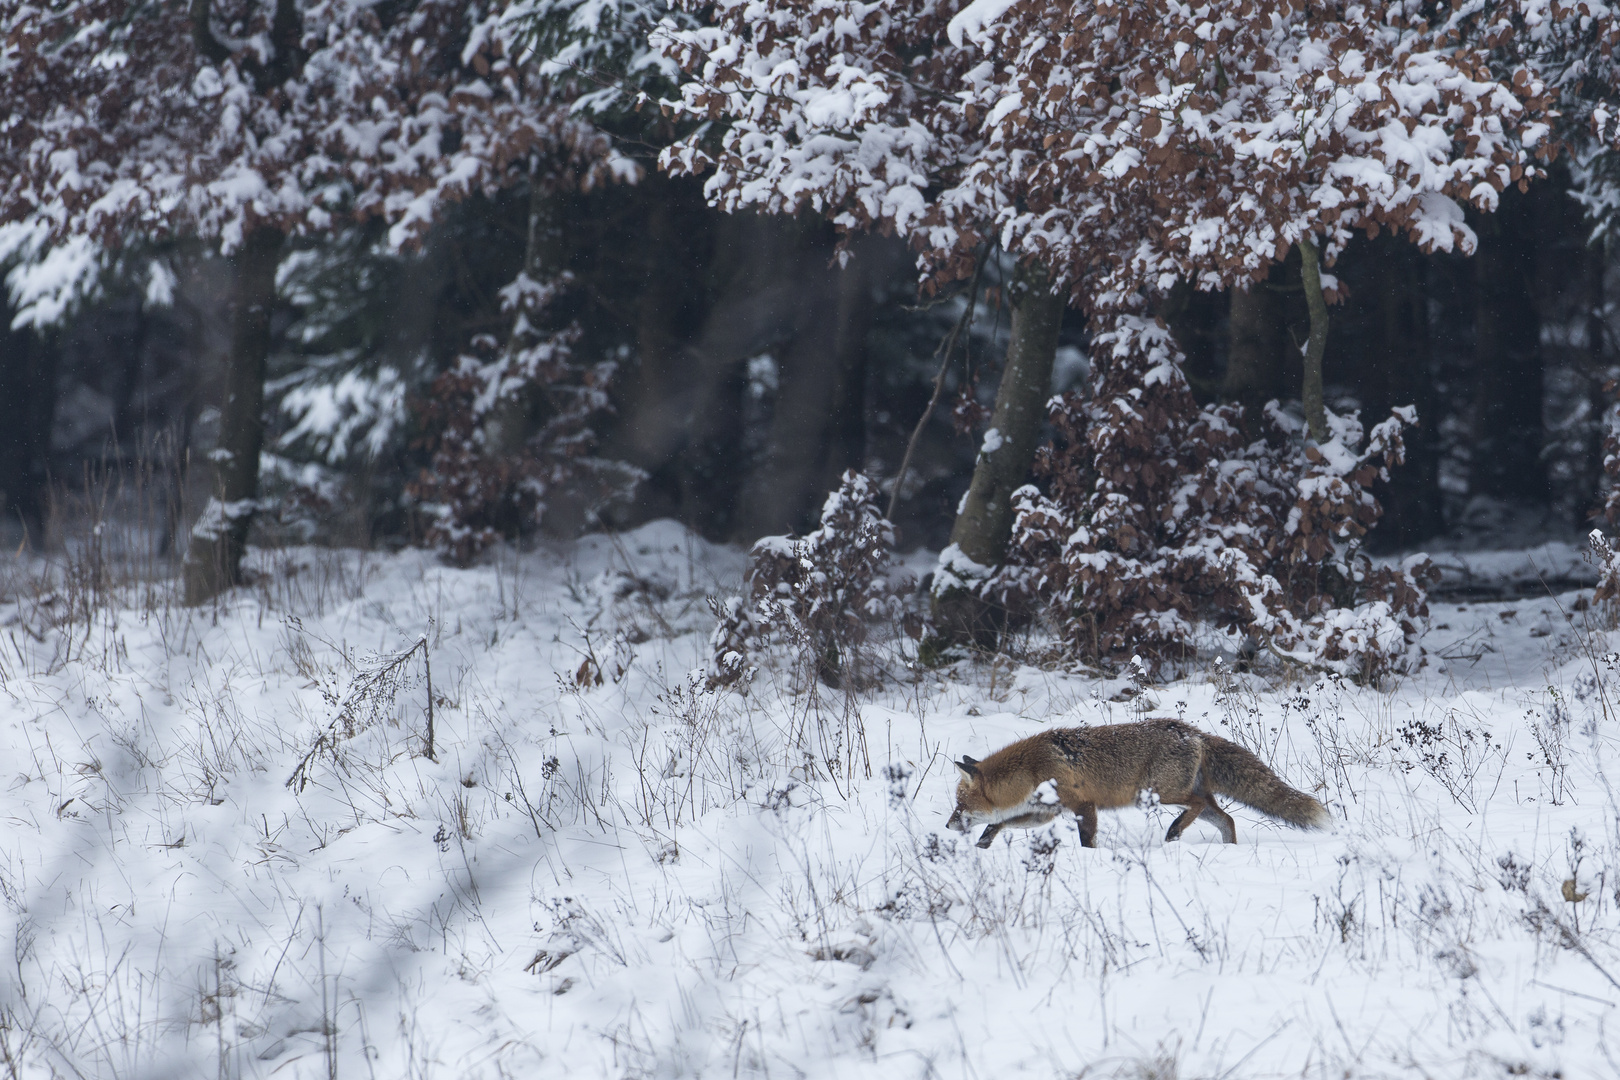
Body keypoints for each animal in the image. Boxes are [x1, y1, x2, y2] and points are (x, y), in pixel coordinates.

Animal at [946, 722, 1328, 848]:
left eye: (960, 805)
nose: (948, 825)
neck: (1031, 768)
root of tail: (1192, 732)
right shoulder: (1045, 813)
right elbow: (1001, 823)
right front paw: (982, 845)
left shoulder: (1084, 806)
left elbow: (1087, 842)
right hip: (1178, 797)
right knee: (1226, 818)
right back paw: (1229, 851)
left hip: (1158, 794)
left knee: (1198, 807)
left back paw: (1174, 832)